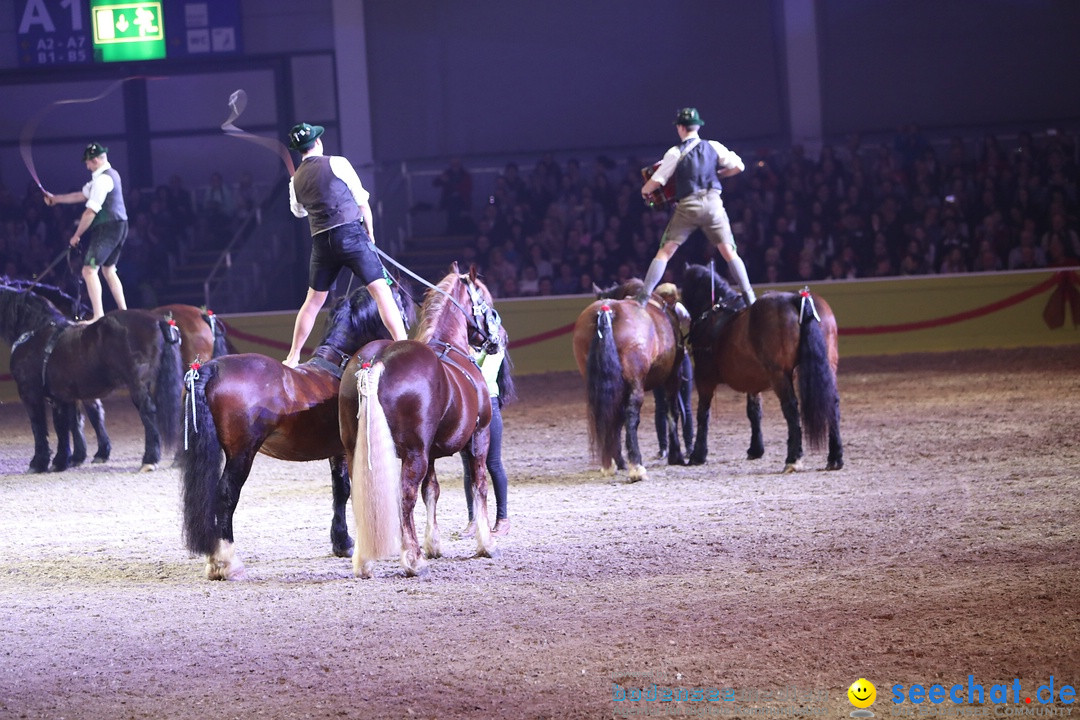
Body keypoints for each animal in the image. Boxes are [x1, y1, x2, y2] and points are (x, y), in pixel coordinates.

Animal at [0, 284, 181, 474]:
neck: (35, 332)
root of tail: (159, 321)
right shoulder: (63, 396)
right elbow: (67, 425)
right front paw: (64, 460)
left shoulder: (31, 393)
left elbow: (40, 426)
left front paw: (38, 463)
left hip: (139, 384)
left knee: (148, 413)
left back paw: (149, 460)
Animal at [177, 284, 412, 582]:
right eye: (398, 301)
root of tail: (209, 368)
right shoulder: (346, 449)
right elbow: (346, 489)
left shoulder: (336, 451)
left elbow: (339, 490)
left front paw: (341, 541)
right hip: (241, 454)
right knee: (225, 496)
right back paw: (226, 561)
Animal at [339, 264, 498, 578]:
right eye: (486, 301)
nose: (496, 341)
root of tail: (375, 361)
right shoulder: (479, 437)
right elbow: (480, 485)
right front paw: (485, 543)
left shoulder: (432, 451)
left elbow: (432, 491)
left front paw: (433, 544)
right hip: (415, 455)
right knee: (405, 496)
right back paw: (412, 558)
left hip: (355, 450)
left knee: (361, 496)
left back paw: (365, 561)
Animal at [570, 278, 686, 481]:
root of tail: (607, 311)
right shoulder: (673, 376)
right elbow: (673, 412)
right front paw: (676, 455)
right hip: (636, 383)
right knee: (631, 415)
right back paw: (636, 466)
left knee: (607, 415)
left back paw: (610, 463)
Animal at [682, 263, 842, 472]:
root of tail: (799, 299)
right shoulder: (752, 381)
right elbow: (754, 412)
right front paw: (756, 449)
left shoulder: (704, 378)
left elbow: (703, 414)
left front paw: (698, 454)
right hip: (828, 368)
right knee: (832, 403)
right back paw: (835, 457)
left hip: (779, 375)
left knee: (791, 408)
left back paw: (793, 458)